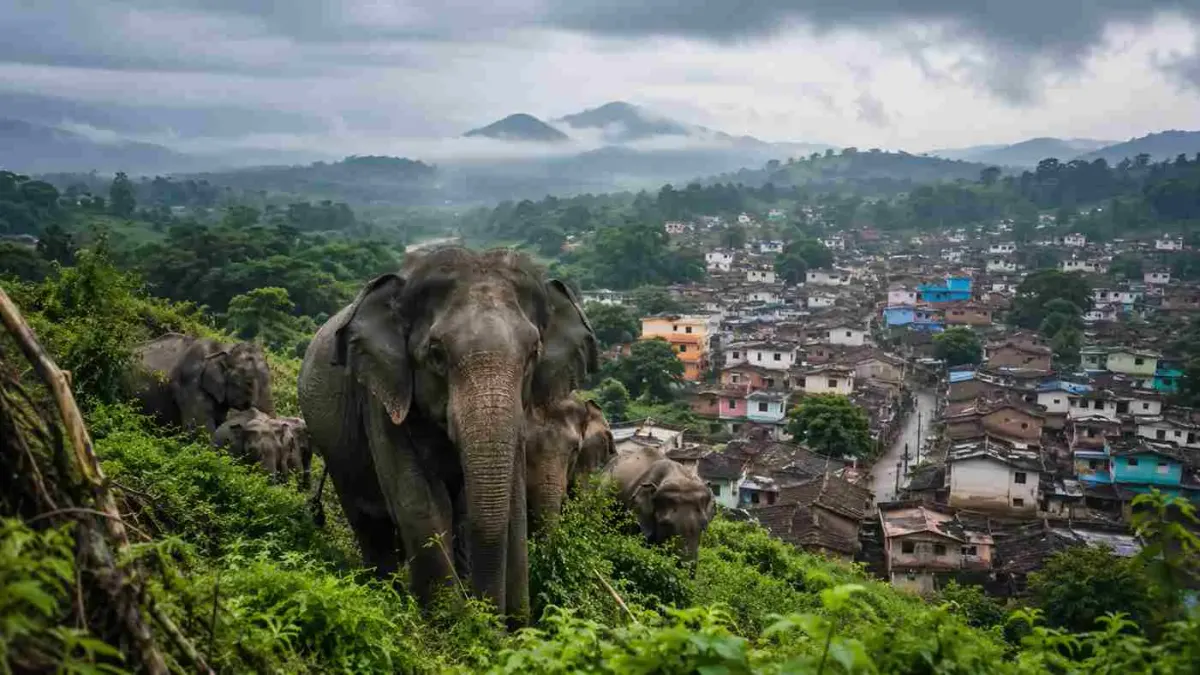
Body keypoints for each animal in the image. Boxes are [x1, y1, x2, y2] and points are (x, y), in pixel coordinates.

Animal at [297, 247, 598, 625]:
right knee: (371, 525)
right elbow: (420, 503)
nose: (490, 617)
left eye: (533, 354)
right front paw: (453, 628)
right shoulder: (383, 396)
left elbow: (507, 507)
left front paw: (512, 629)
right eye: (436, 354)